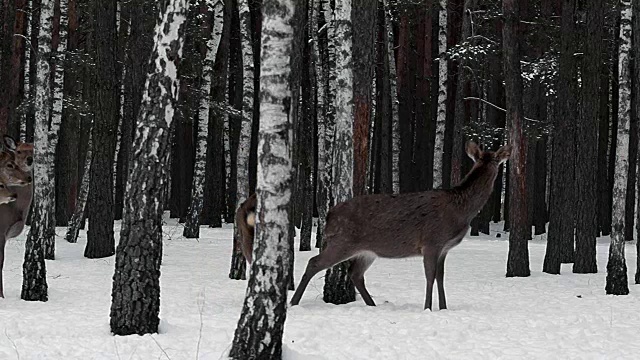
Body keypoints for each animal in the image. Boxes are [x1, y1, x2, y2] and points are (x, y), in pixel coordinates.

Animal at [288, 142, 510, 310]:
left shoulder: (444, 248)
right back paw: (293, 302)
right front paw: (428, 308)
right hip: (342, 241)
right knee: (314, 262)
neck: (460, 212)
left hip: (366, 251)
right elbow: (430, 276)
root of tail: (329, 215)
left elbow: (440, 277)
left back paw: (372, 305)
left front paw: (443, 308)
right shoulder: (431, 241)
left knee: (355, 273)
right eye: (498, 162)